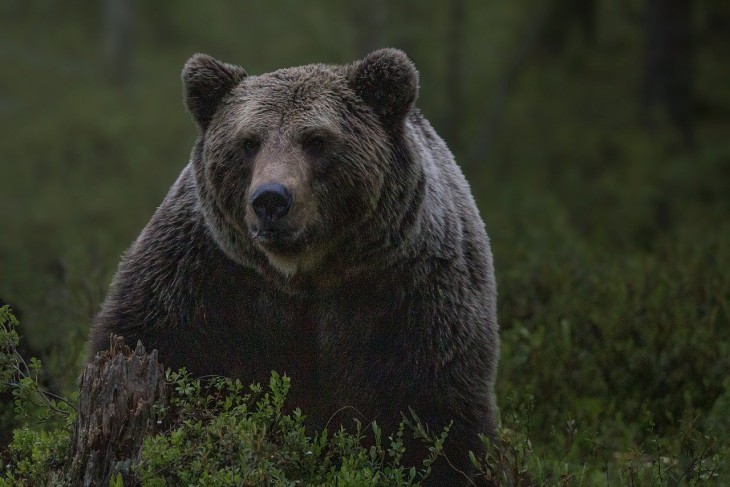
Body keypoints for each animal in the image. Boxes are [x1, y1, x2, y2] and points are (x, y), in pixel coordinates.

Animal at [88, 48, 498, 484]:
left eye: (316, 140)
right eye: (249, 142)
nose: (271, 199)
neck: (304, 274)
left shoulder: (410, 294)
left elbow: (436, 413)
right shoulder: (201, 276)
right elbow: (154, 342)